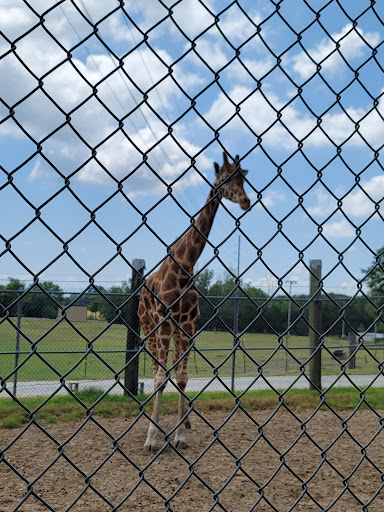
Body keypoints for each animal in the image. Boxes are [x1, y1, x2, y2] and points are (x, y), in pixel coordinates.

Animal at [137, 152, 249, 452]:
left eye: (243, 178)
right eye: (224, 178)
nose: (246, 202)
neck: (184, 268)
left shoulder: (188, 327)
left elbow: (183, 378)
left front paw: (180, 436)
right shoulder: (164, 325)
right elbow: (161, 379)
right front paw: (152, 439)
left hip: (174, 333)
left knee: (171, 372)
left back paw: (183, 421)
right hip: (148, 330)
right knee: (154, 371)